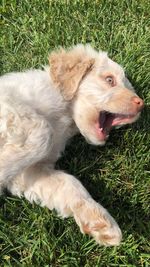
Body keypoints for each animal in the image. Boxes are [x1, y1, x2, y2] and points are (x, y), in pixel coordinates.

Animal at [0, 44, 144, 247]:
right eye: (109, 79)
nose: (142, 104)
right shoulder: (10, 107)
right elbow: (42, 131)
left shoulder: (29, 173)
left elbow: (69, 184)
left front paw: (102, 224)